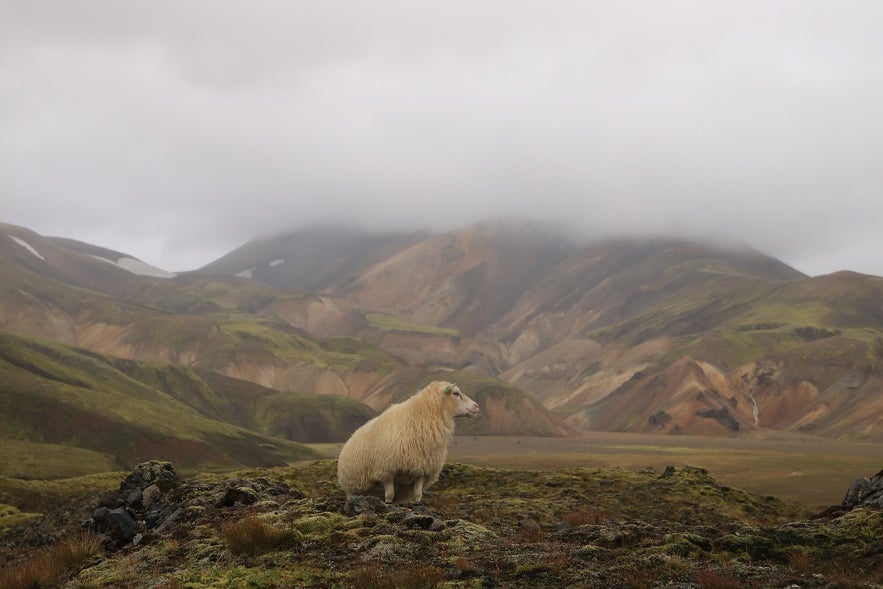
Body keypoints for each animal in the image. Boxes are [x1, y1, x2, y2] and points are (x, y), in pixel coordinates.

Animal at [338, 382, 480, 500]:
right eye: (456, 393)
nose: (477, 406)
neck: (420, 417)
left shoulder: (423, 469)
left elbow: (418, 495)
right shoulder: (386, 471)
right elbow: (390, 495)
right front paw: (388, 504)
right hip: (351, 489)